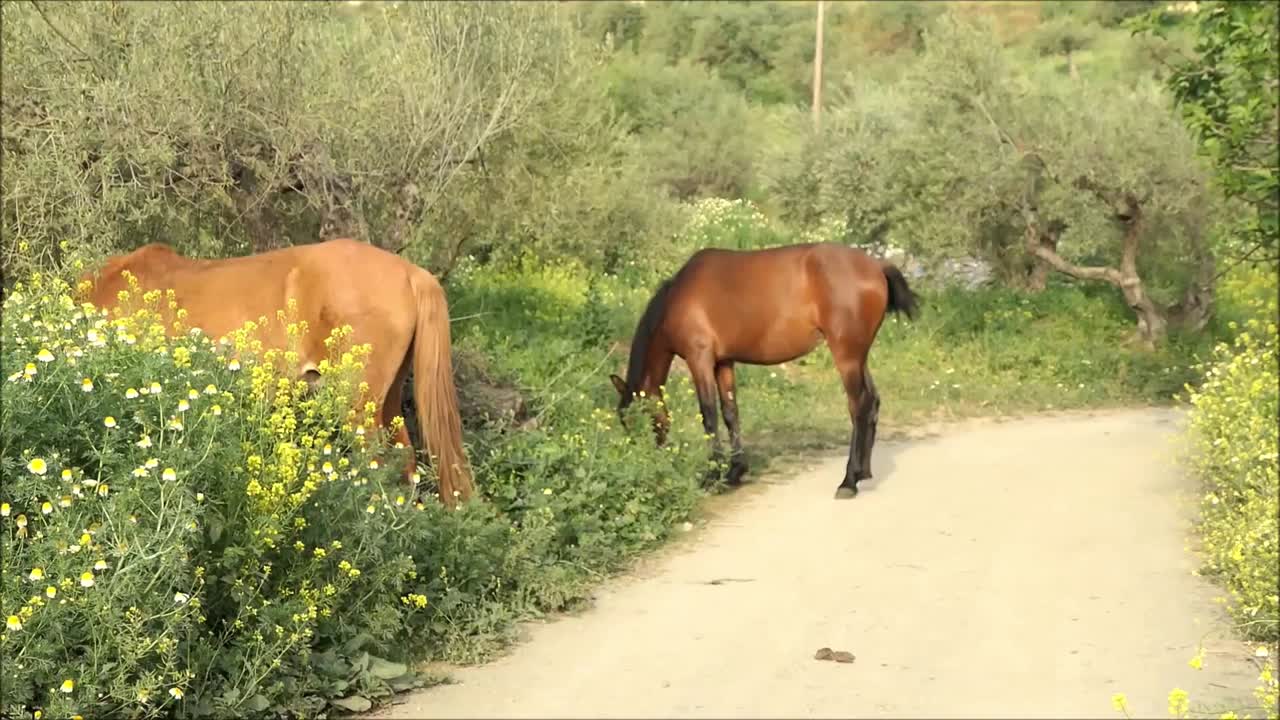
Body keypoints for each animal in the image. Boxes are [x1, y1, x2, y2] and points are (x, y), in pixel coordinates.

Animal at [608, 242, 919, 499]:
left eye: (633, 419)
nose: (650, 459)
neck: (677, 297)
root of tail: (877, 267)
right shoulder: (723, 362)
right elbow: (730, 413)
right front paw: (734, 472)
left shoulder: (700, 359)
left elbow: (709, 416)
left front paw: (712, 476)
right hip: (858, 354)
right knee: (873, 401)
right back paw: (864, 472)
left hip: (846, 355)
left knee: (859, 405)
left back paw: (848, 481)